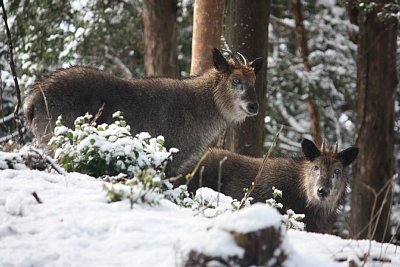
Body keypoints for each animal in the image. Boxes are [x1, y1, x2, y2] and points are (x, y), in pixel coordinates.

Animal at [23, 49, 264, 177]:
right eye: (236, 80)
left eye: (254, 81)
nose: (254, 106)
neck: (201, 107)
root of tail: (31, 102)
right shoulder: (169, 158)